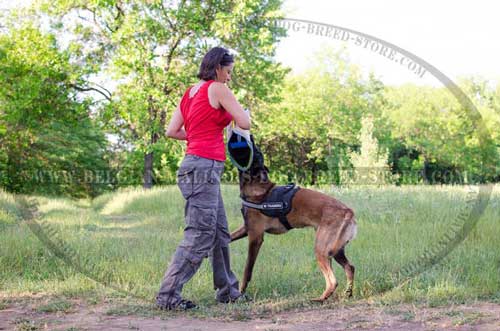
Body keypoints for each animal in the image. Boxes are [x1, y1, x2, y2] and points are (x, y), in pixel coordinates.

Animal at [229, 144, 358, 302]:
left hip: (321, 249)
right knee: (350, 267)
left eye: (256, 153)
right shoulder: (246, 228)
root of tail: (347, 211)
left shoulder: (255, 236)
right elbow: (226, 237)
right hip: (337, 250)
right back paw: (347, 293)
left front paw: (241, 291)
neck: (256, 186)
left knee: (333, 280)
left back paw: (320, 299)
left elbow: (247, 269)